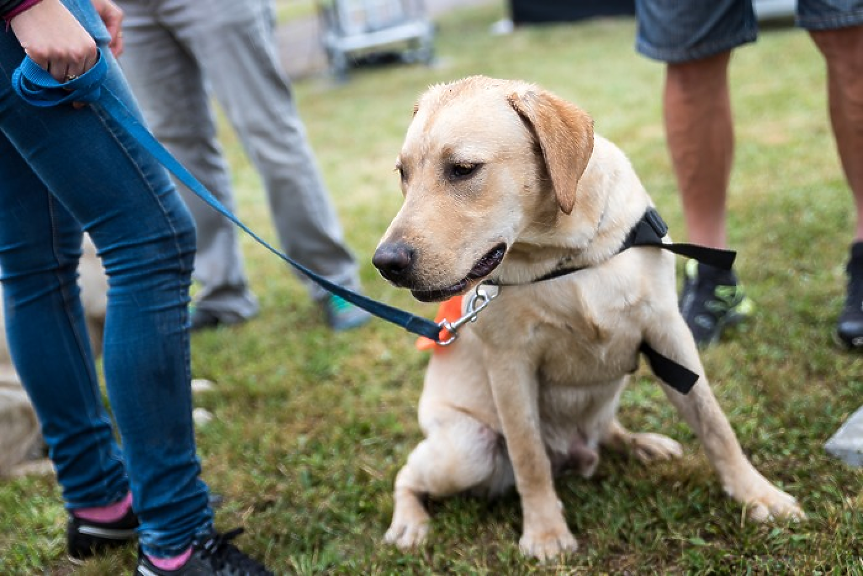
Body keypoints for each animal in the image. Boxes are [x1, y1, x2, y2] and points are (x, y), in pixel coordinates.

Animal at [374, 75, 808, 560]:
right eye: (403, 173)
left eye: (463, 169)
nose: (385, 262)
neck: (567, 255)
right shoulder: (510, 365)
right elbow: (529, 457)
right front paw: (545, 532)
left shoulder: (668, 332)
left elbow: (716, 425)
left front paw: (758, 495)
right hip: (466, 451)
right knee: (408, 475)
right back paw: (409, 523)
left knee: (609, 430)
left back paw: (642, 444)